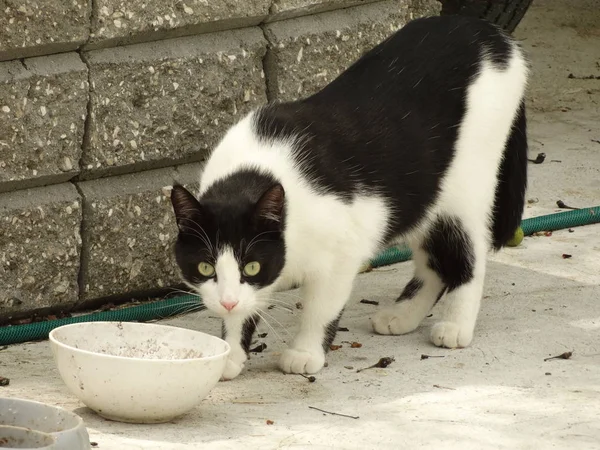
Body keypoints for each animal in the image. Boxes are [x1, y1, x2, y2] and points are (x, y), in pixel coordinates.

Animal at [169, 14, 524, 380]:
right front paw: (230, 351)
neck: (254, 171)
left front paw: (305, 351)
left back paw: (455, 325)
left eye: (251, 266)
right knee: (435, 258)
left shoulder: (343, 248)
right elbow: (248, 304)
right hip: (423, 194)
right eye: (205, 266)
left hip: (468, 182)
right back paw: (403, 315)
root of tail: (489, 32)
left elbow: (321, 306)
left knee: (469, 251)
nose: (226, 302)